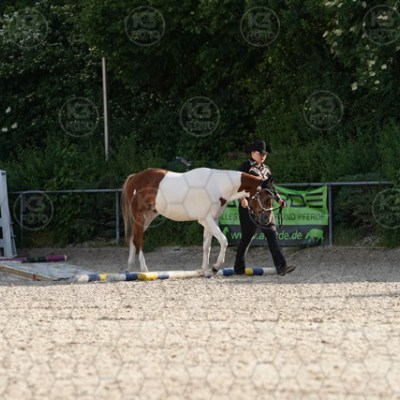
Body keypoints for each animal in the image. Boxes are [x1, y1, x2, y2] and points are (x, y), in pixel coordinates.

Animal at [120, 167, 275, 273]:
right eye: (266, 197)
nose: (267, 219)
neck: (217, 185)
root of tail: (134, 178)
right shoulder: (206, 219)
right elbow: (224, 240)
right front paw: (215, 267)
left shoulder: (211, 221)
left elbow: (207, 246)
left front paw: (205, 270)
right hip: (140, 216)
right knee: (138, 240)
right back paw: (144, 269)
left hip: (148, 217)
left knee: (133, 239)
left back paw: (129, 268)